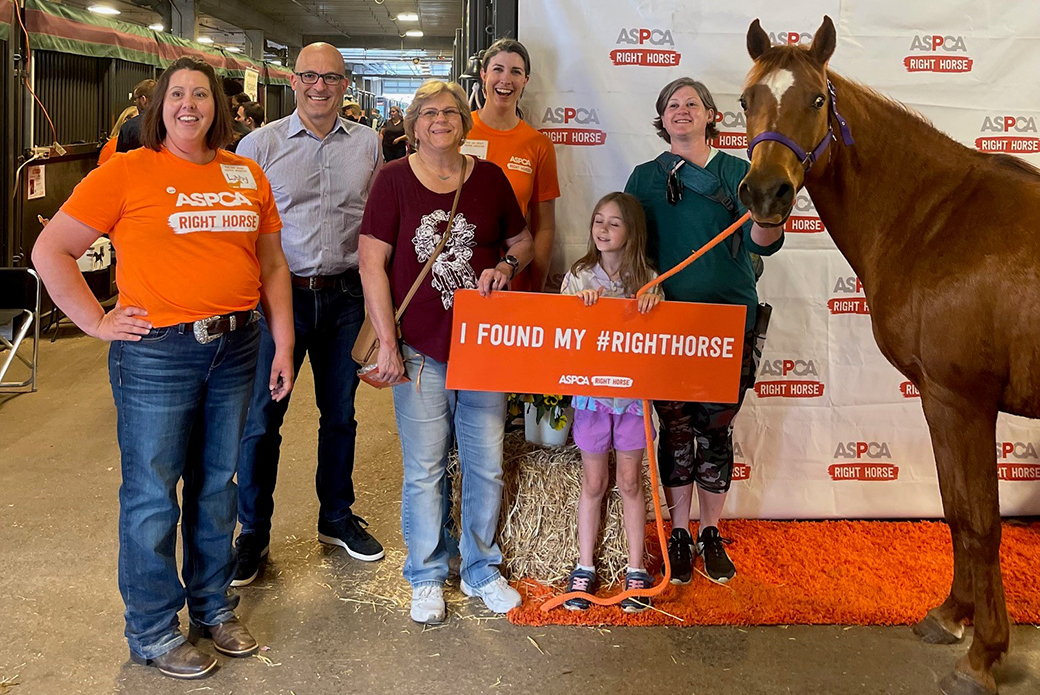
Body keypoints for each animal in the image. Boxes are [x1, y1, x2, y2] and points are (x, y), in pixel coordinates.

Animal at [740, 14, 1040, 695]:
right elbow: (955, 509)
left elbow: (982, 521)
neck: (936, 221)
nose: (766, 194)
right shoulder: (937, 402)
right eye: (746, 100)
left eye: (816, 100)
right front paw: (950, 616)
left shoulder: (963, 402)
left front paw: (983, 655)